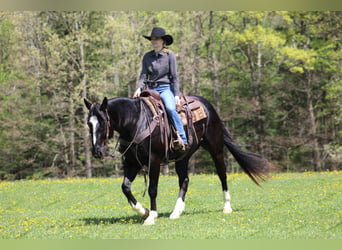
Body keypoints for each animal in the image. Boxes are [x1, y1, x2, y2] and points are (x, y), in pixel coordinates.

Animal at [83, 94, 270, 226]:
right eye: (89, 123)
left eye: (103, 121)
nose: (97, 151)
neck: (137, 122)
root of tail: (207, 105)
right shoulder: (132, 163)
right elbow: (125, 187)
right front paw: (143, 211)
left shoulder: (154, 160)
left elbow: (152, 189)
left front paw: (151, 216)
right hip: (183, 157)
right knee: (184, 180)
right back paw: (176, 211)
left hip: (215, 149)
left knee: (222, 175)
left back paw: (227, 207)